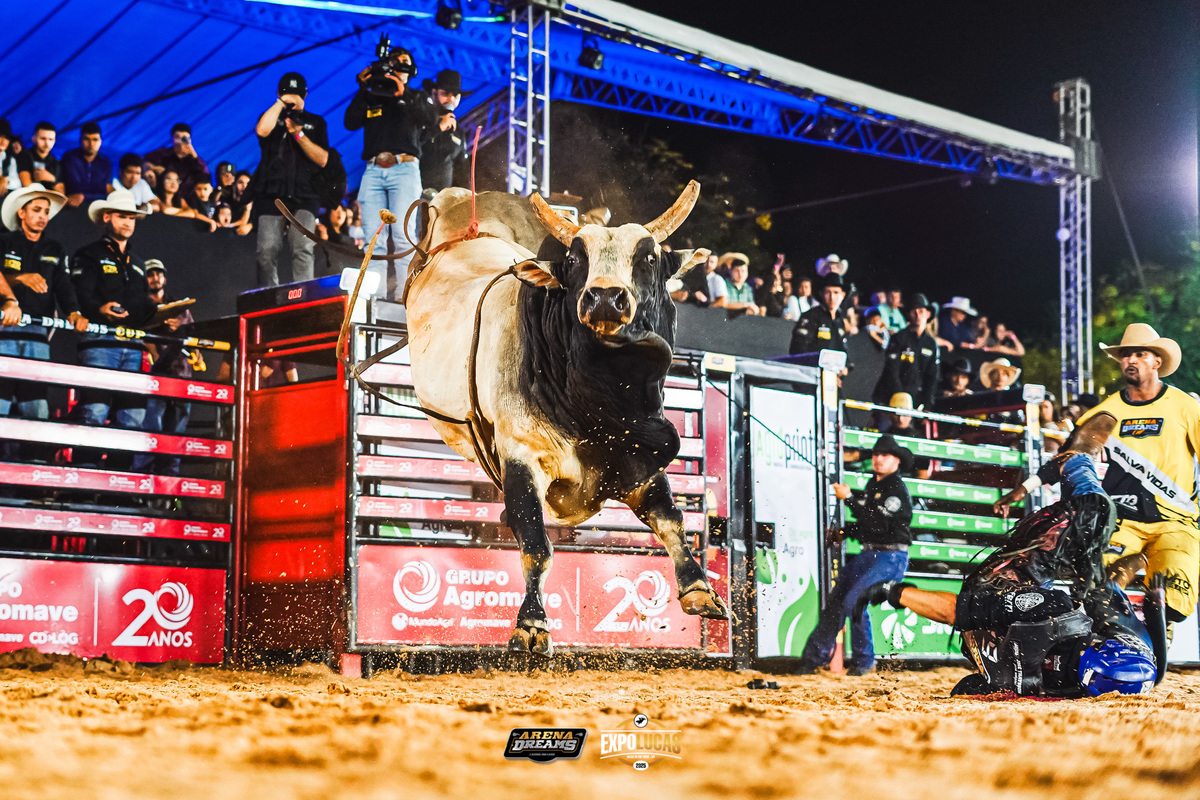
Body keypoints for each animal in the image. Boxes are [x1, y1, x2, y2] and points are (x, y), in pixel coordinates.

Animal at [403, 181, 728, 655]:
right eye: (575, 261)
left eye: (649, 258)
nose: (606, 297)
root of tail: (464, 200)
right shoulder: (521, 456)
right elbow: (536, 543)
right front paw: (531, 624)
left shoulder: (637, 452)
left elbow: (669, 517)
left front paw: (699, 589)